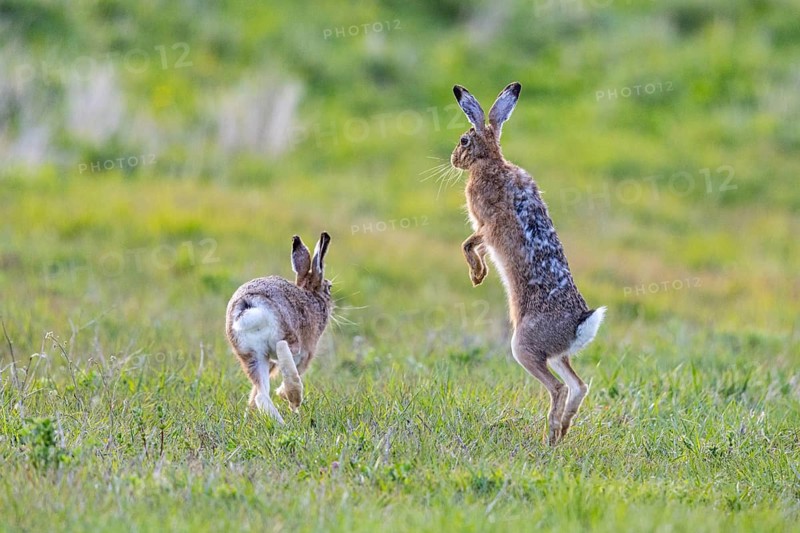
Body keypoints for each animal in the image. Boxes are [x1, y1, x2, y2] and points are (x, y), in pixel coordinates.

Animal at [225, 232, 332, 423]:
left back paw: (280, 423)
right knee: (284, 350)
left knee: (261, 394)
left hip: (251, 354)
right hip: (287, 337)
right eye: (330, 288)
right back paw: (294, 399)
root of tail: (248, 306)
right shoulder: (307, 355)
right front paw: (284, 395)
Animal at [451, 82, 606, 445]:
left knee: (559, 388)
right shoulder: (488, 231)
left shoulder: (487, 225)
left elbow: (469, 244)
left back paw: (549, 437)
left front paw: (477, 275)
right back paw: (563, 431)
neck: (491, 161)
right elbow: (476, 246)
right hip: (556, 354)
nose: (452, 159)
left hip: (524, 347)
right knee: (579, 386)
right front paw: (481, 274)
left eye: (464, 140)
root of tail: (579, 325)